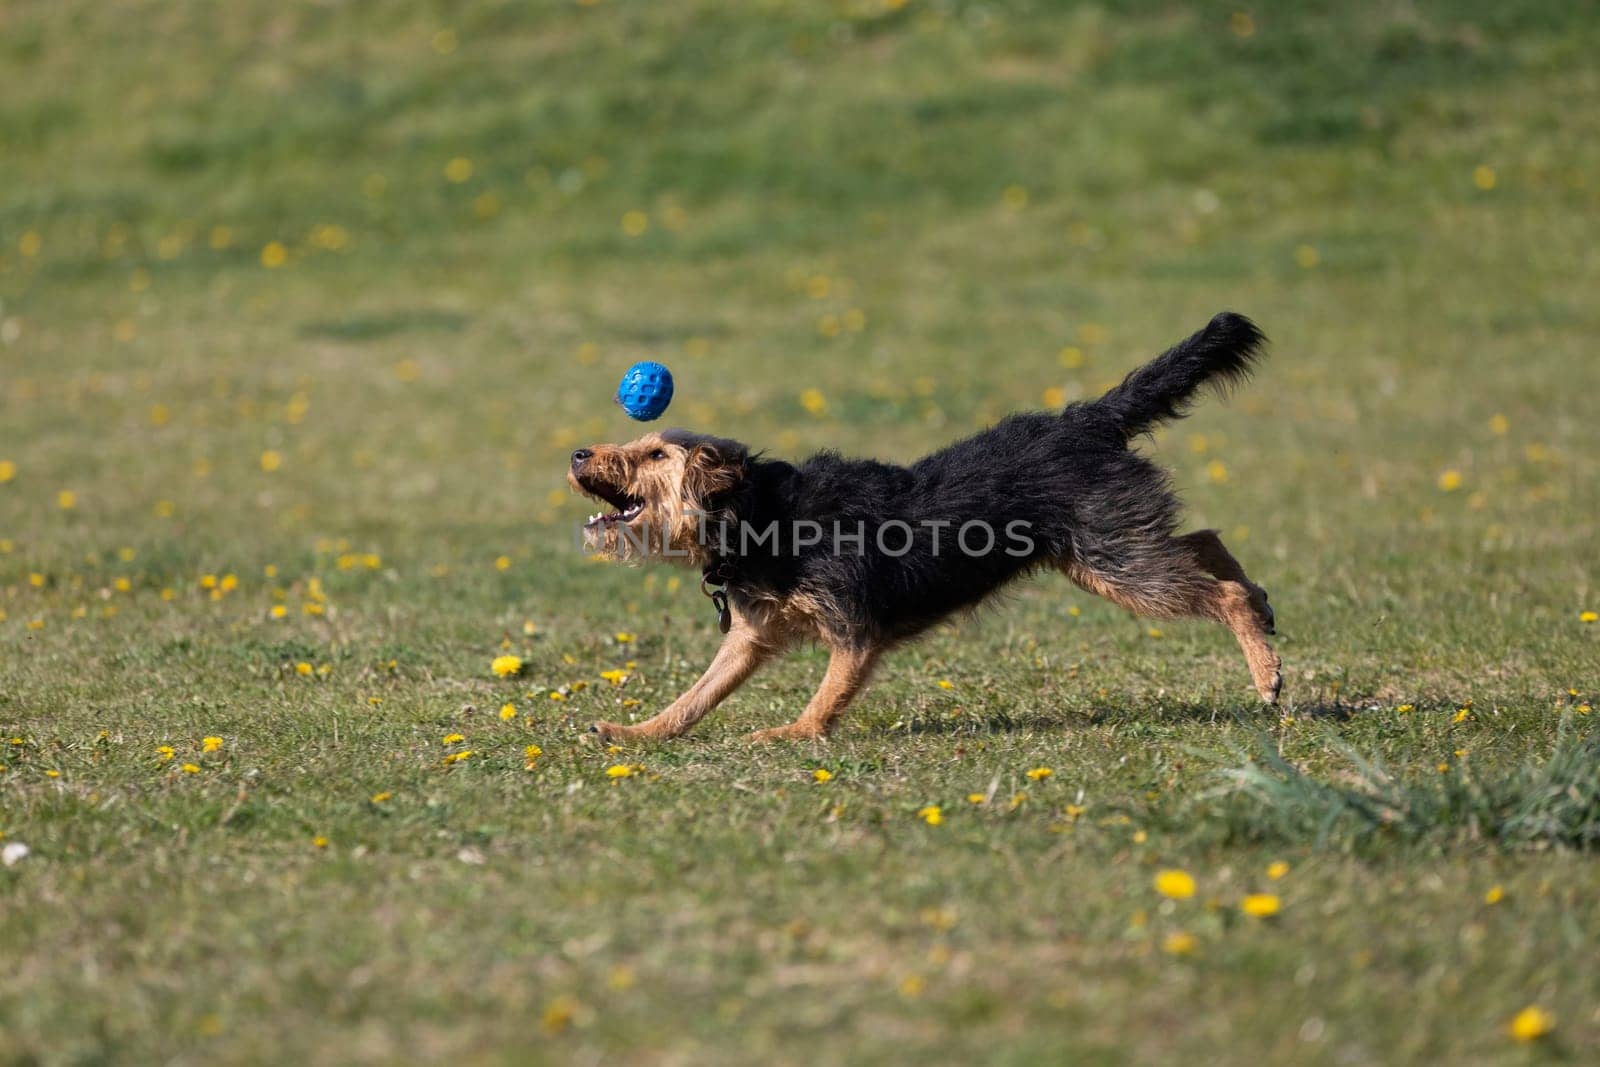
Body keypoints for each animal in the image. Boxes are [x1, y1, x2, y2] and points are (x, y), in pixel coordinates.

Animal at [569, 313, 1280, 739]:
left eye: (654, 455)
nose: (578, 452)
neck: (760, 514)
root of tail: (1087, 420)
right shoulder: (749, 638)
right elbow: (696, 695)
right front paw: (636, 734)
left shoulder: (855, 630)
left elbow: (825, 696)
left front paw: (792, 735)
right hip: (1110, 549)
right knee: (1205, 541)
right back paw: (1262, 606)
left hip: (1113, 562)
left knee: (1219, 591)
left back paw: (1266, 670)